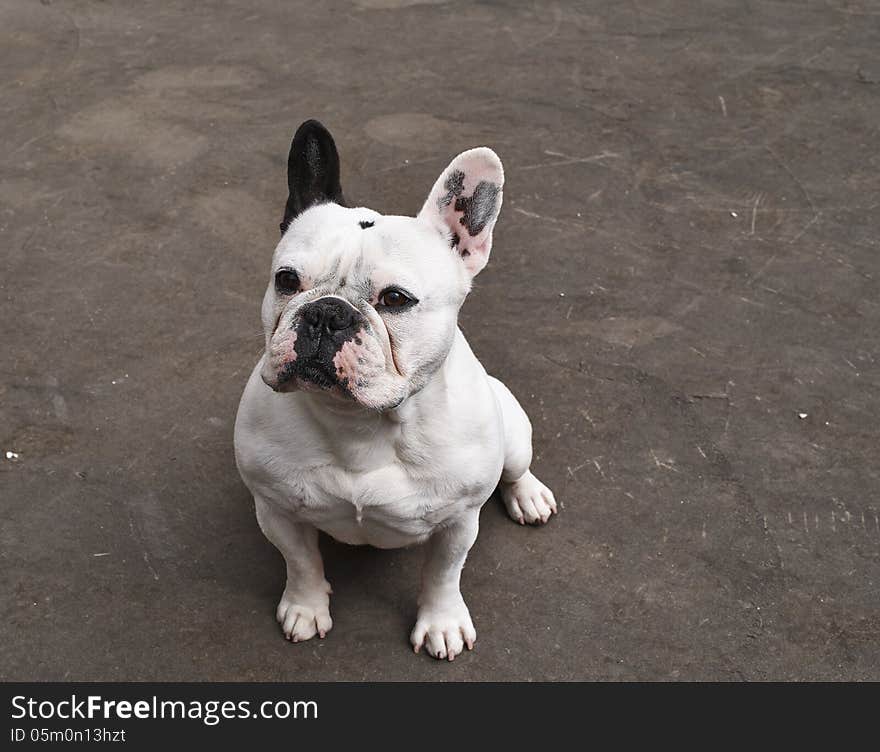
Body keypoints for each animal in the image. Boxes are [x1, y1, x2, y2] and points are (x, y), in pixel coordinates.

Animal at [234, 119, 556, 656]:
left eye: (396, 299)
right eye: (287, 280)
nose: (326, 313)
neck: (359, 423)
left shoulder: (458, 522)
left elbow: (443, 575)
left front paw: (441, 623)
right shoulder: (276, 510)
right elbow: (301, 562)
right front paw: (306, 607)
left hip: (513, 434)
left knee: (517, 469)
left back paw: (529, 496)